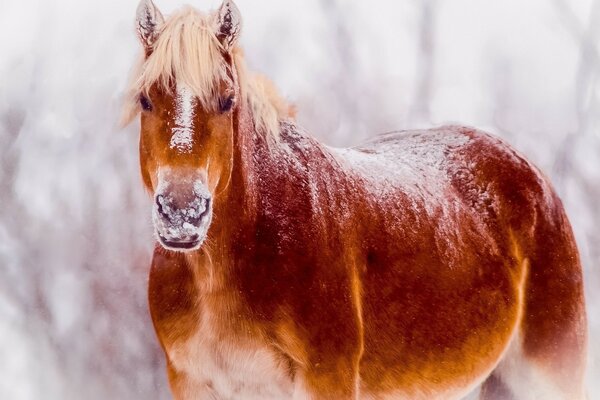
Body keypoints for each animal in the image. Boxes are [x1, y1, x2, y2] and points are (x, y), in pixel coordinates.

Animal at [124, 1, 588, 398]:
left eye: (227, 100)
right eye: (146, 99)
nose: (181, 212)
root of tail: (532, 176)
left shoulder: (327, 377)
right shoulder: (191, 381)